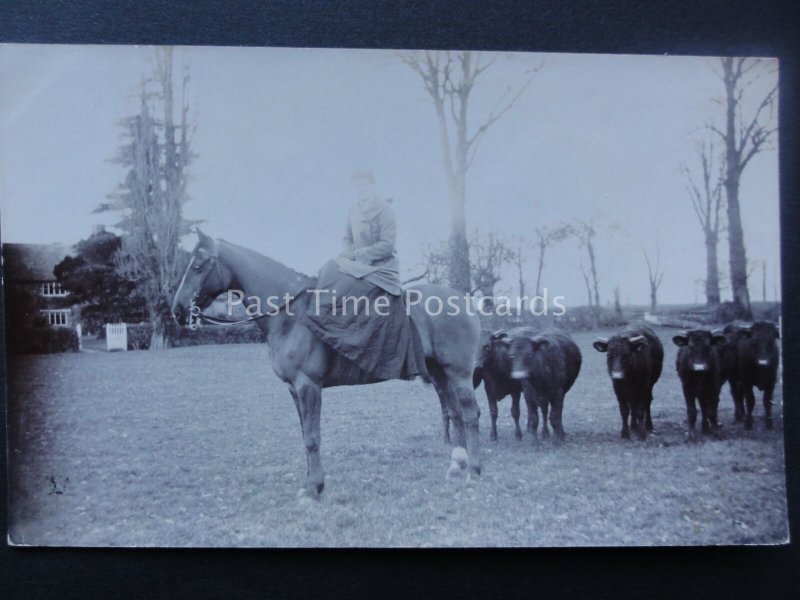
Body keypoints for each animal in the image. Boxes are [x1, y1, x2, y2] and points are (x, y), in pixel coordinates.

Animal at [170, 230, 482, 496]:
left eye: (197, 267)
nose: (178, 310)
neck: (291, 315)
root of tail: (464, 301)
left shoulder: (308, 386)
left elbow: (312, 438)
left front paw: (314, 489)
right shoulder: (294, 390)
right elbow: (305, 435)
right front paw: (311, 484)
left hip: (458, 373)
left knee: (470, 415)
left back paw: (474, 472)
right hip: (439, 373)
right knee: (455, 414)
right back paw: (457, 466)